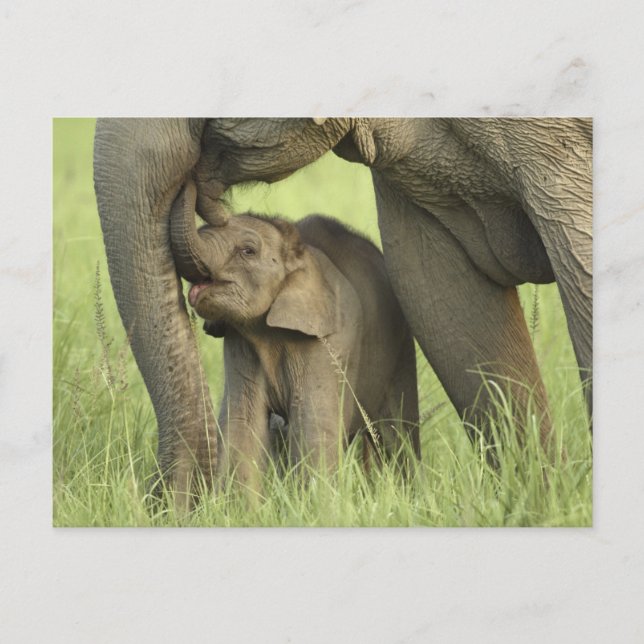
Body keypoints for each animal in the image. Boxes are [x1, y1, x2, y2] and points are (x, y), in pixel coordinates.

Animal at [168, 182, 420, 493]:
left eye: (248, 251)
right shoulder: (240, 342)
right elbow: (243, 423)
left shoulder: (329, 342)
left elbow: (312, 422)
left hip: (401, 345)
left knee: (398, 431)